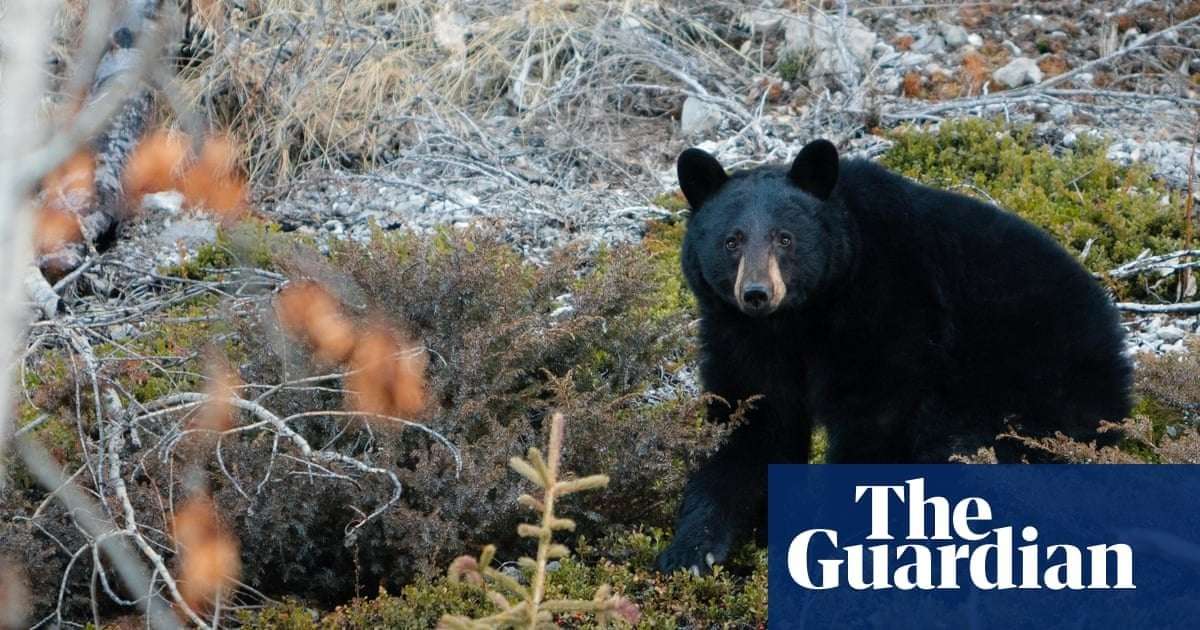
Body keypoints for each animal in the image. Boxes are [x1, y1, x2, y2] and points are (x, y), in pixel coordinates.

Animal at [655, 139, 1133, 575]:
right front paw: (692, 549)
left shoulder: (892, 309)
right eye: (731, 241)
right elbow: (751, 422)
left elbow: (877, 420)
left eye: (785, 238)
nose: (756, 293)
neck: (802, 317)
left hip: (1033, 391)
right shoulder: (743, 337)